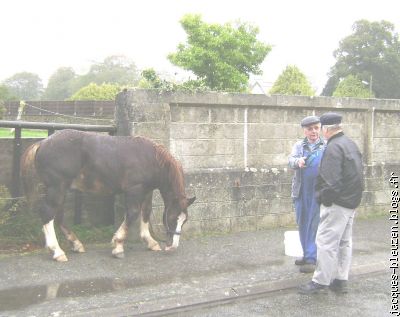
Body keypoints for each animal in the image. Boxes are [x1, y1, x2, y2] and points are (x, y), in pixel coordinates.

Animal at [20, 129, 195, 262]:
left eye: (184, 220)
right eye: (172, 218)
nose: (172, 246)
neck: (151, 158)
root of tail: (42, 143)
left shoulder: (146, 191)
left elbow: (145, 213)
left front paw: (150, 242)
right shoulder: (134, 189)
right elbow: (132, 214)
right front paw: (118, 245)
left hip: (60, 189)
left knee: (58, 216)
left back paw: (76, 244)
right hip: (57, 188)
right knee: (48, 213)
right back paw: (57, 251)